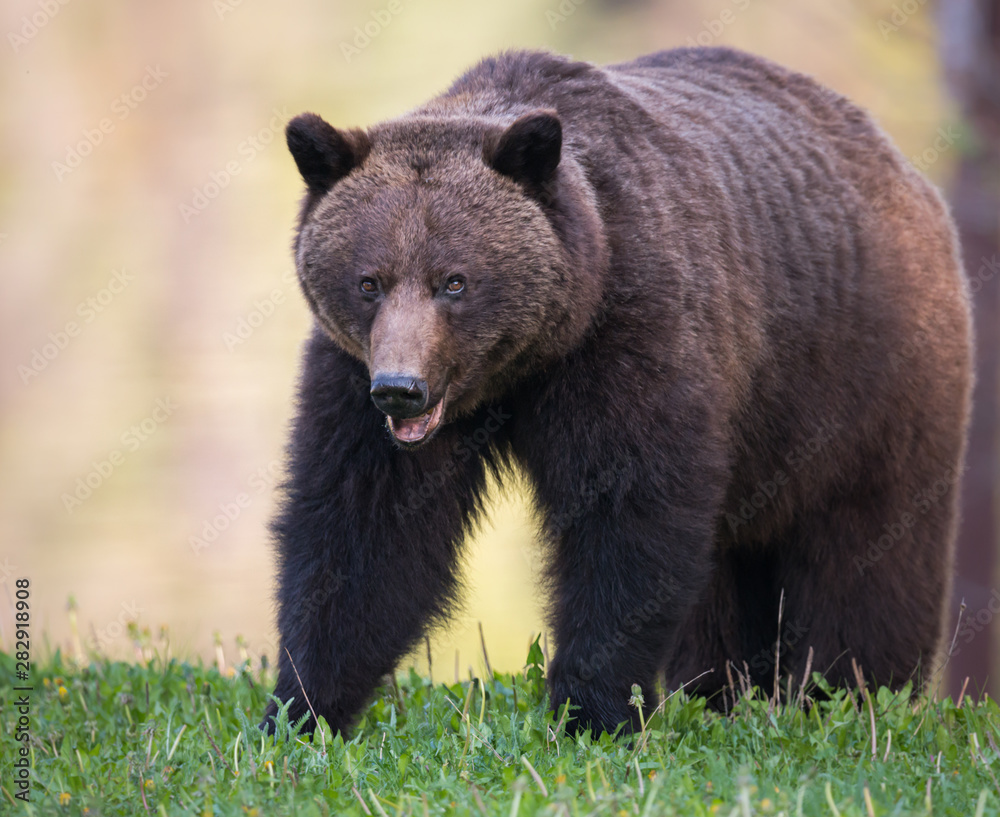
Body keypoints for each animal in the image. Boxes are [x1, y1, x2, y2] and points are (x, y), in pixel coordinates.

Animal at [262, 47, 972, 736]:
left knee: (866, 551)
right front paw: (301, 710)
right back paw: (721, 691)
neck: (524, 363)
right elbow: (363, 529)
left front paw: (592, 710)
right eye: (369, 281)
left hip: (865, 383)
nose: (401, 390)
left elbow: (627, 516)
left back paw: (848, 694)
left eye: (455, 281)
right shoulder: (353, 377)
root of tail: (901, 168)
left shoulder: (629, 335)